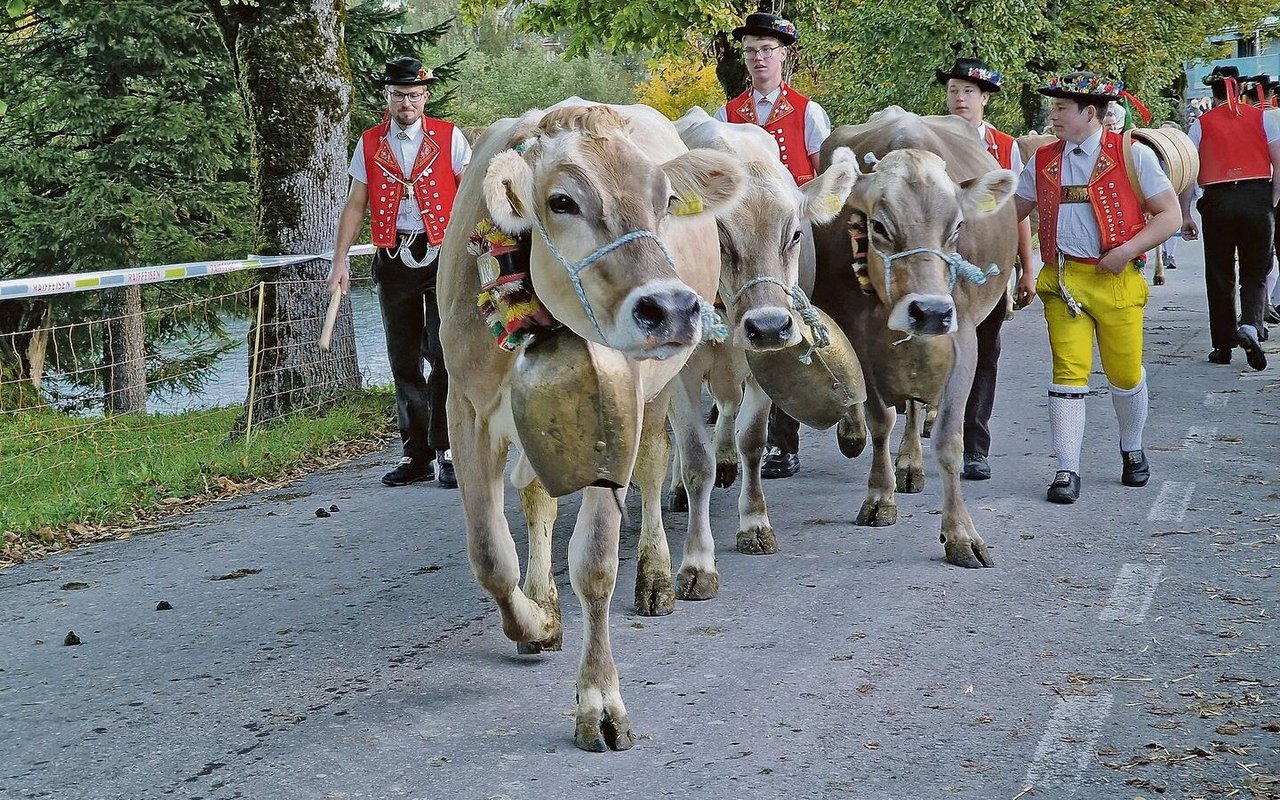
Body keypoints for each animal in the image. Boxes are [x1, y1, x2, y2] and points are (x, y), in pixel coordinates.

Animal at [437, 99, 747, 747]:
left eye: (665, 200)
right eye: (562, 201)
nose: (671, 308)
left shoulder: (617, 411)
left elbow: (597, 561)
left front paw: (600, 701)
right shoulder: (466, 408)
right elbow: (490, 553)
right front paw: (535, 620)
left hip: (662, 390)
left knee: (659, 472)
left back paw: (658, 576)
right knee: (537, 497)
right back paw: (544, 598)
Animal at [814, 107, 1013, 568]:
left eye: (957, 227)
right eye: (879, 226)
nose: (932, 311)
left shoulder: (963, 339)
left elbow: (949, 439)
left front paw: (961, 534)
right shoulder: (859, 339)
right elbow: (881, 419)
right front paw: (879, 496)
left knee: (919, 407)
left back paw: (912, 461)